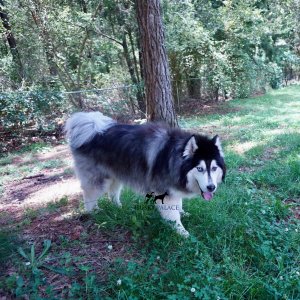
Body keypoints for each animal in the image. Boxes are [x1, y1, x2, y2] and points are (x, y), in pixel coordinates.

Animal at [65, 111, 225, 236]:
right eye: (200, 169)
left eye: (214, 168)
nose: (211, 187)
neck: (173, 157)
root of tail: (91, 126)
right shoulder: (164, 192)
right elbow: (173, 216)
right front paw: (182, 232)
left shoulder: (173, 188)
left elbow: (178, 205)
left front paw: (182, 213)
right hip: (98, 179)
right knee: (89, 196)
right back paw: (94, 212)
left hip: (116, 174)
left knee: (113, 193)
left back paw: (118, 207)